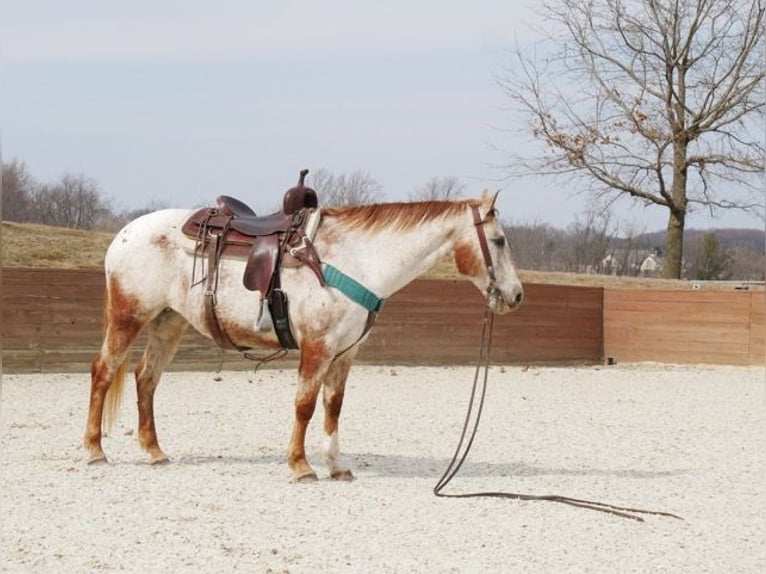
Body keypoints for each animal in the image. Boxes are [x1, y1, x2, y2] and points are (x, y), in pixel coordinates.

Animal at [85, 191, 528, 484]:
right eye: (500, 240)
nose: (516, 295)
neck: (356, 259)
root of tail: (124, 234)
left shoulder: (345, 354)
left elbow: (333, 407)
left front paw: (336, 465)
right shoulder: (317, 348)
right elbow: (305, 406)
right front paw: (300, 465)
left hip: (168, 323)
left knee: (146, 379)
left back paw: (154, 452)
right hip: (128, 318)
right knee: (103, 371)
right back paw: (94, 451)